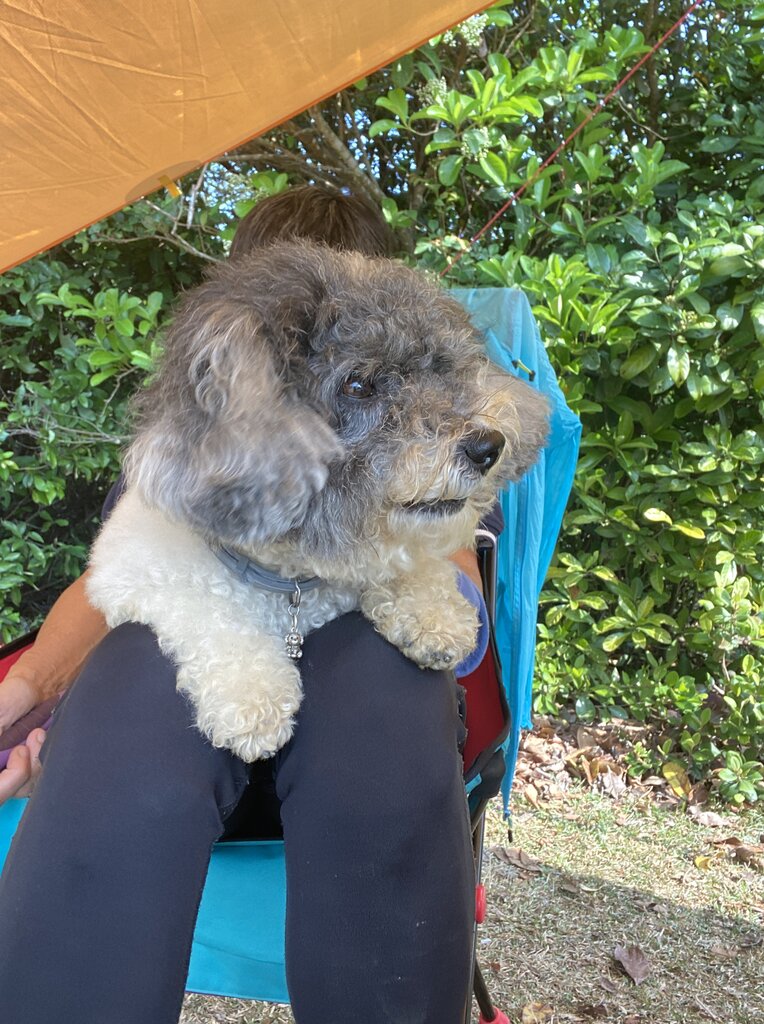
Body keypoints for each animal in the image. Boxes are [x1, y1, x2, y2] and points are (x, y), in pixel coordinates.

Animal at [86, 240, 549, 762]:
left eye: (444, 369)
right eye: (358, 384)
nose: (488, 446)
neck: (290, 584)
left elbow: (402, 559)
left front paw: (432, 613)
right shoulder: (129, 577)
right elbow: (207, 611)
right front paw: (253, 696)